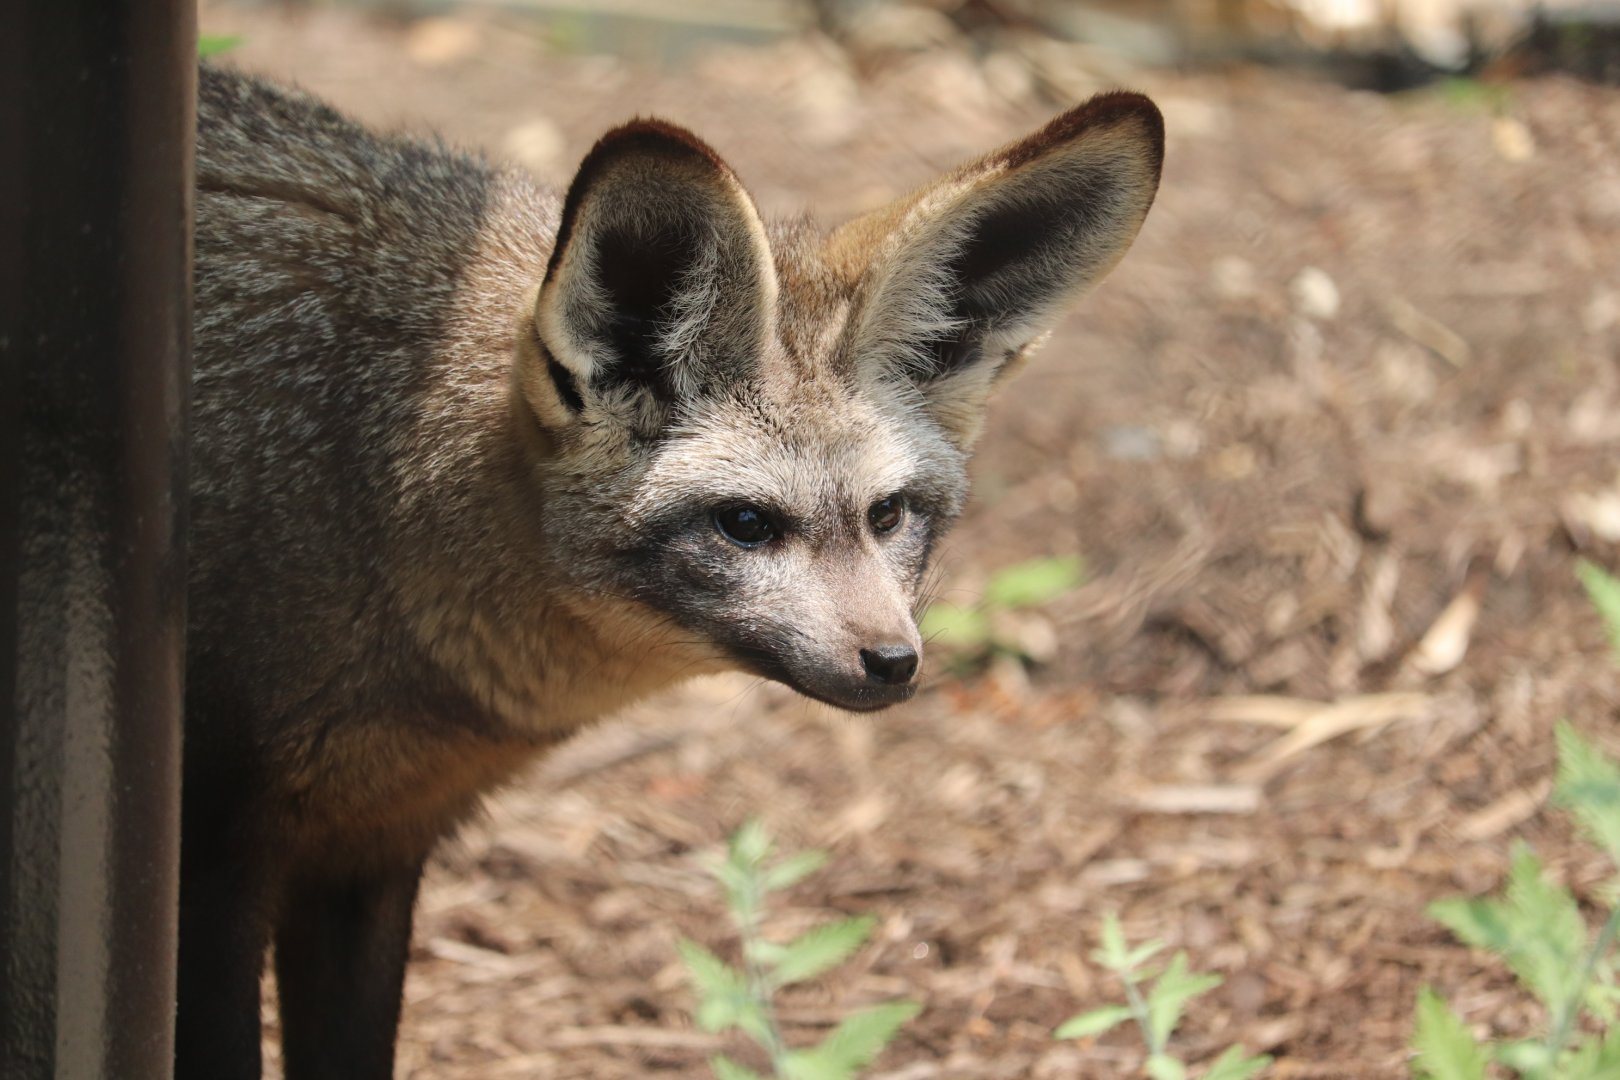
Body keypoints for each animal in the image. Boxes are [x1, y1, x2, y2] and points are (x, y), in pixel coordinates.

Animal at [184, 61, 1163, 1079]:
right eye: (745, 525)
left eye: (887, 515)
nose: (896, 664)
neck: (363, 484)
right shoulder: (214, 861)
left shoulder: (371, 849)